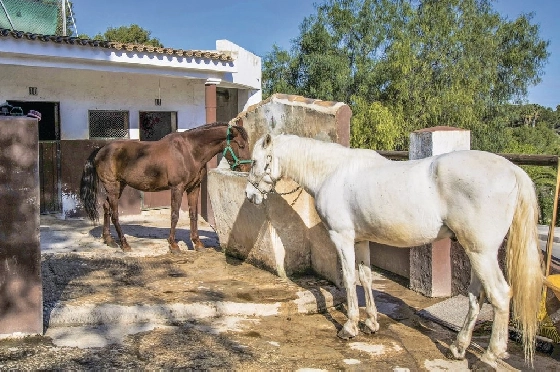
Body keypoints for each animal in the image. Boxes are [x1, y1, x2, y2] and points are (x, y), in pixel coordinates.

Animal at [80, 122, 250, 253]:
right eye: (241, 145)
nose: (247, 169)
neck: (189, 151)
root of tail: (101, 149)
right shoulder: (177, 188)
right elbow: (174, 215)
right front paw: (173, 245)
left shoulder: (194, 188)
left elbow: (193, 215)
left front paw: (198, 244)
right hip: (113, 186)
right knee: (114, 214)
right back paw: (125, 244)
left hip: (119, 186)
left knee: (106, 207)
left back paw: (109, 240)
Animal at [245, 134, 544, 366]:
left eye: (257, 161)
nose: (250, 195)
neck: (332, 172)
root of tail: (511, 169)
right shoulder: (361, 240)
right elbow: (366, 278)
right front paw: (371, 323)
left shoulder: (342, 238)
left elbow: (350, 280)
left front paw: (350, 327)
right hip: (474, 251)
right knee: (476, 296)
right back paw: (458, 348)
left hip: (482, 252)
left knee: (500, 295)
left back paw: (492, 354)